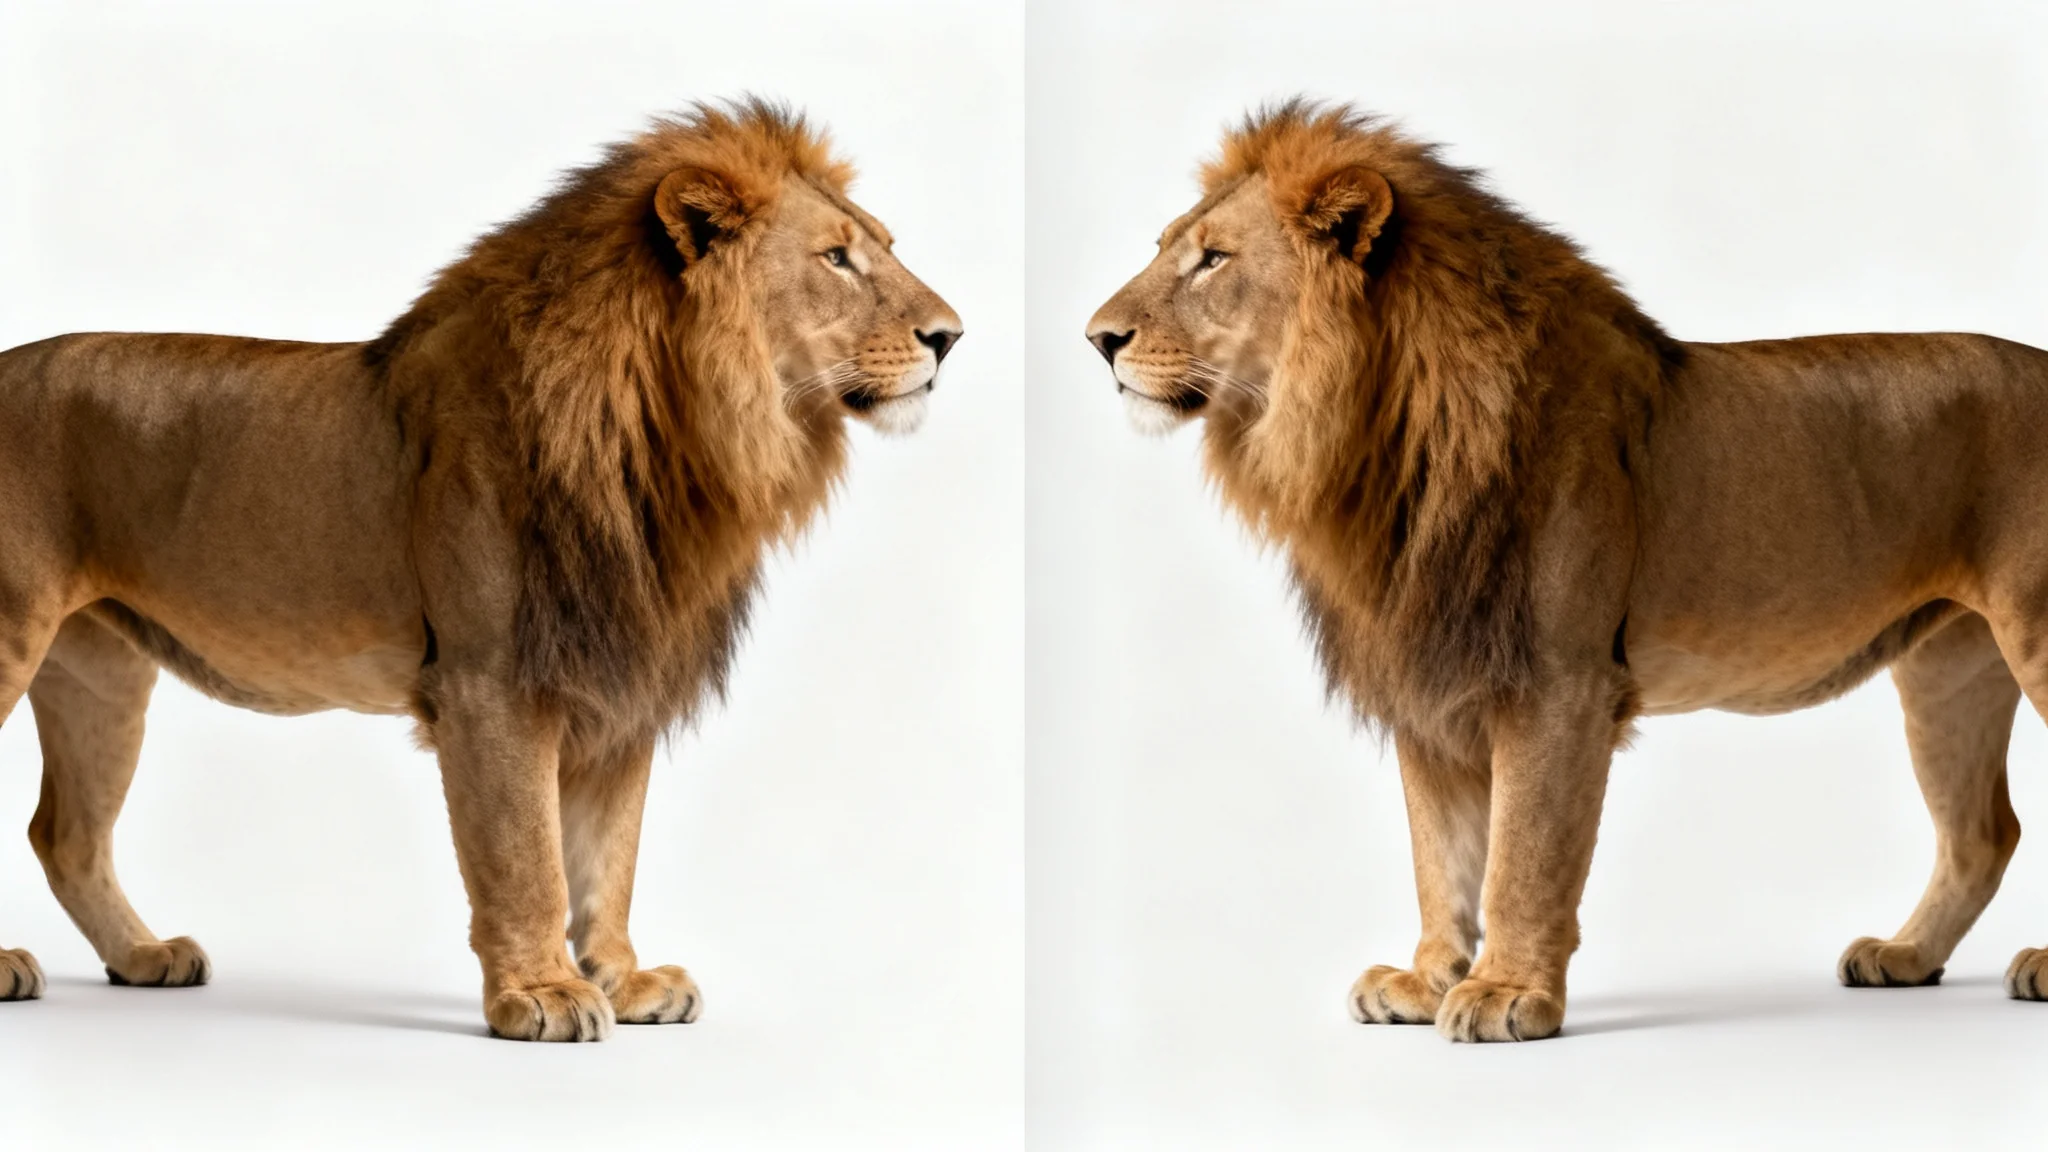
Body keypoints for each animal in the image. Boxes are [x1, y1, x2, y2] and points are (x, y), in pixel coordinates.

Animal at [0, 99, 962, 1040]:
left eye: (884, 244)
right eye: (836, 257)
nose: (951, 337)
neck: (676, 442)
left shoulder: (619, 679)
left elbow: (608, 854)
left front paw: (624, 979)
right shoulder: (492, 682)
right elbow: (525, 855)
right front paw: (541, 993)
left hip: (101, 676)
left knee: (66, 835)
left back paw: (143, 956)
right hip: (16, 637)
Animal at [1086, 99, 2048, 1041]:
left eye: (1213, 259)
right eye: (1166, 246)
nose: (1097, 340)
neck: (1371, 441)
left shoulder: (1558, 683)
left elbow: (1524, 854)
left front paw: (1509, 993)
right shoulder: (1430, 679)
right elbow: (1441, 853)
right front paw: (1427, 979)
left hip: (2031, 639)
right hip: (1947, 672)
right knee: (1982, 834)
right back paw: (1905, 956)